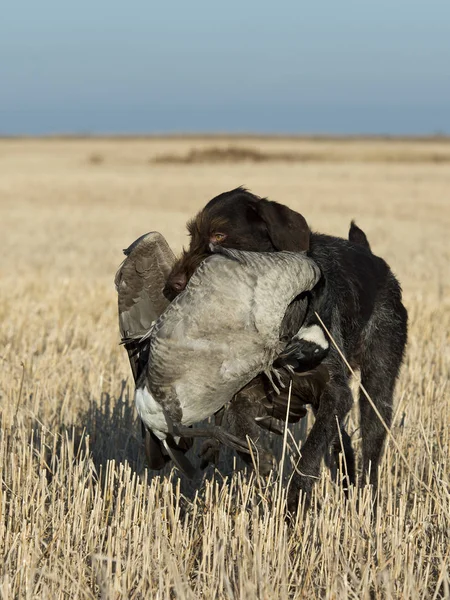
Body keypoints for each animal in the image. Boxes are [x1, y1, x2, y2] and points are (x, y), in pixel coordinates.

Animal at [164, 189, 408, 510]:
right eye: (192, 235)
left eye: (220, 235)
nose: (172, 286)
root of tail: (373, 259)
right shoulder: (256, 389)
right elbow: (241, 425)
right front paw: (260, 461)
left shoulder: (335, 391)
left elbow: (311, 452)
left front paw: (294, 499)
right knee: (342, 442)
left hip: (378, 380)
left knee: (371, 442)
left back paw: (368, 502)